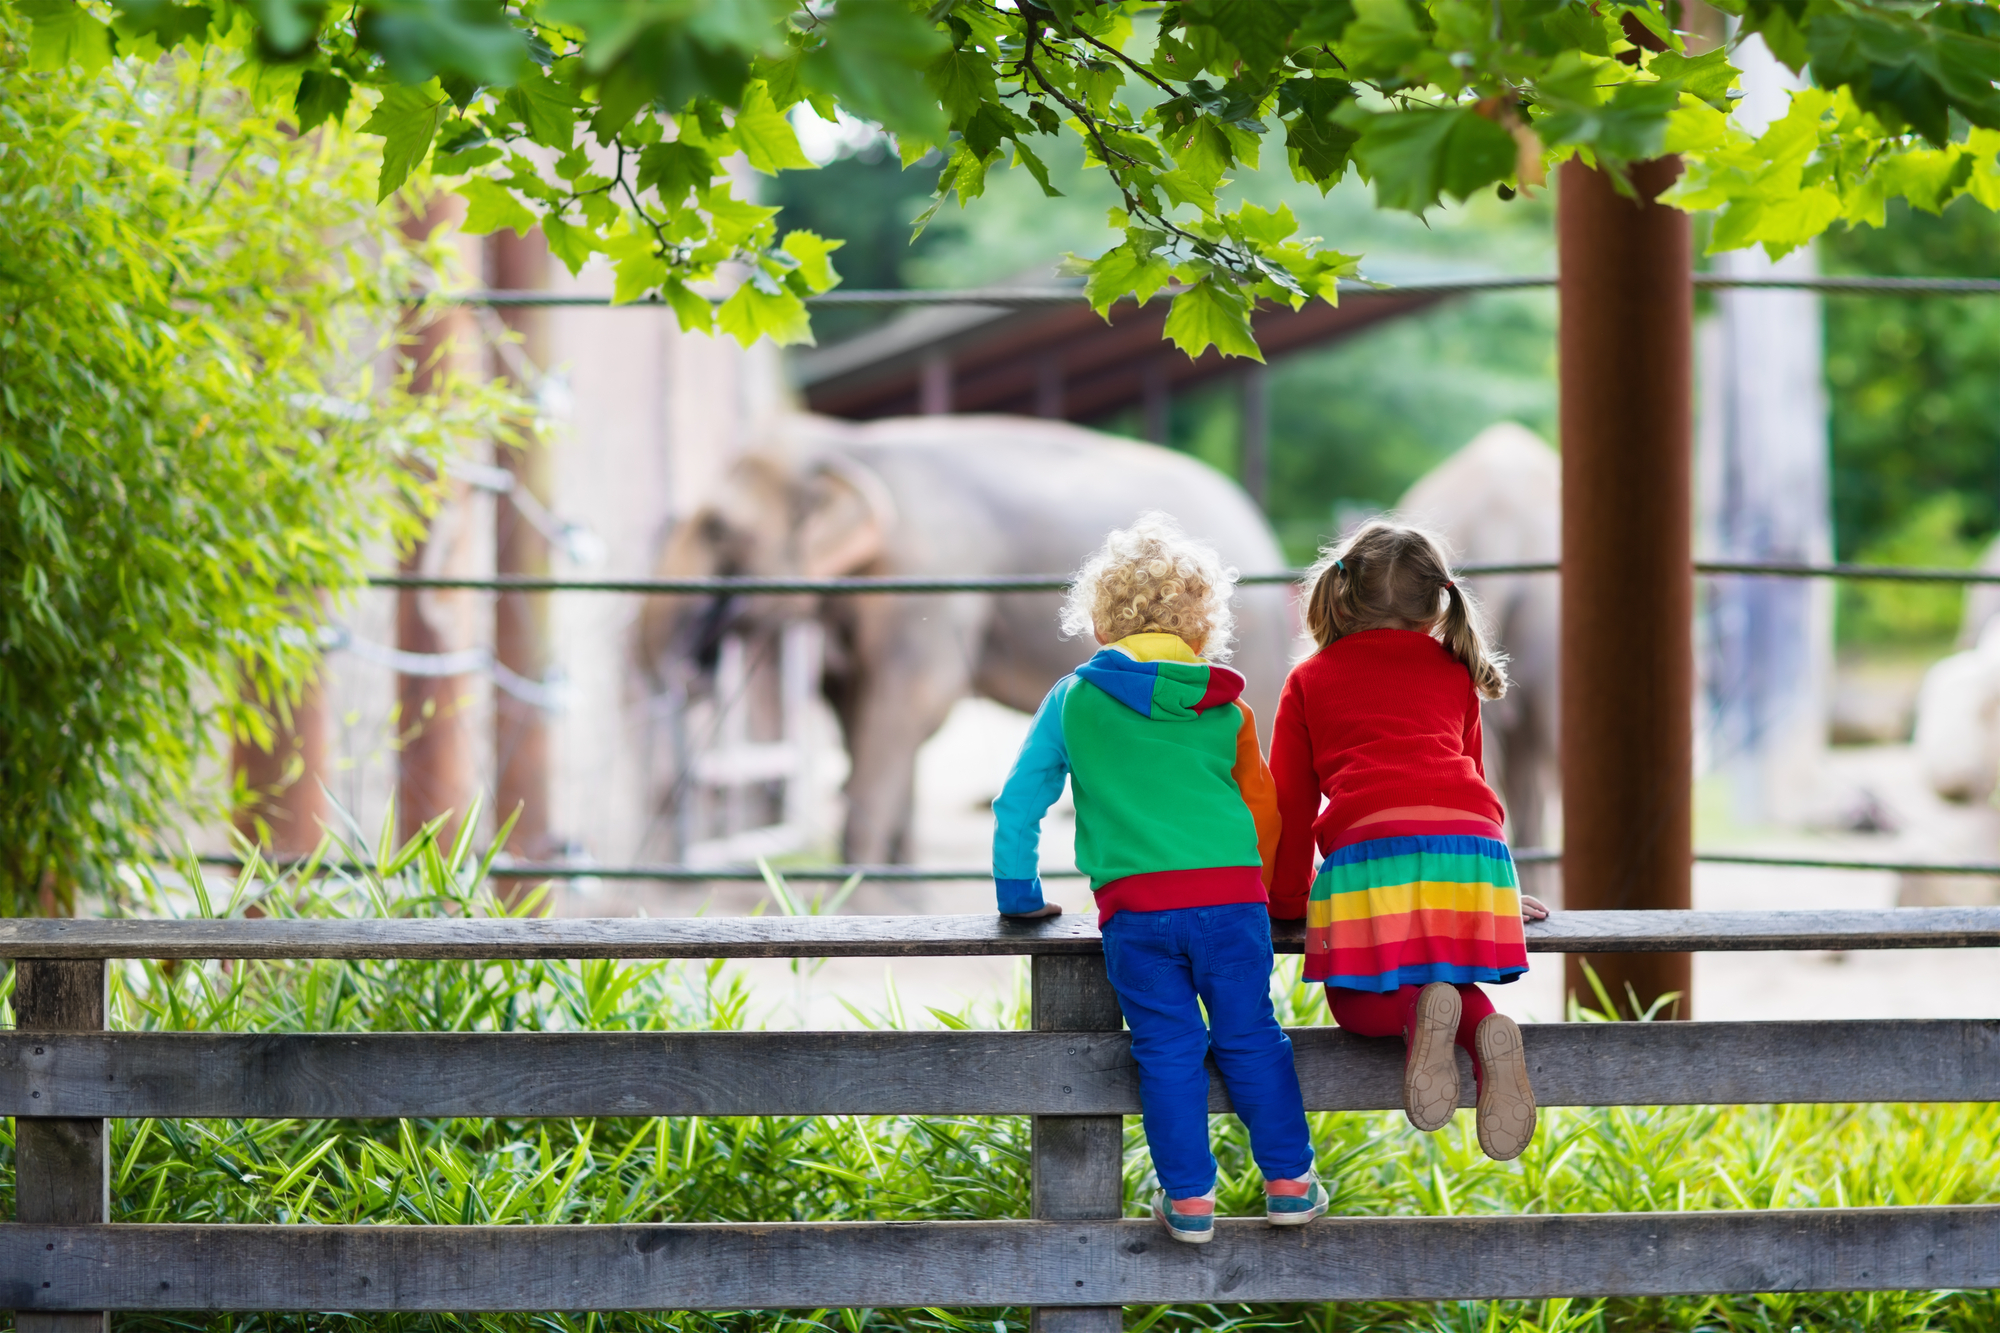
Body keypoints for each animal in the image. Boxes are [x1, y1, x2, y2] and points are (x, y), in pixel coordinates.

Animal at [644, 418, 1296, 872]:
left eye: (718, 528)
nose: (688, 670)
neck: (851, 446)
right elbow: (863, 710)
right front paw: (889, 887)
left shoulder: (928, 579)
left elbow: (909, 705)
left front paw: (853, 890)